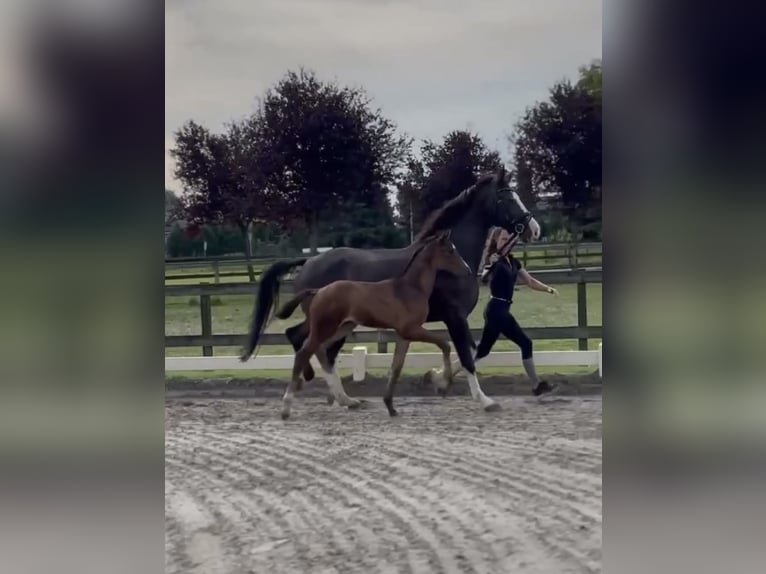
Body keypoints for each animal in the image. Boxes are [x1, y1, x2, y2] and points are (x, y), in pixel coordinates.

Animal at [272, 232, 472, 420]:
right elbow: (444, 345)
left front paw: (391, 407)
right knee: (304, 352)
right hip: (324, 327)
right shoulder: (412, 330)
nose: (468, 270)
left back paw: (342, 399)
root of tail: (318, 291)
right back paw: (286, 408)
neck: (411, 288)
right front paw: (444, 385)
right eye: (450, 250)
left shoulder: (404, 335)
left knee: (319, 350)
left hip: (342, 327)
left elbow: (396, 367)